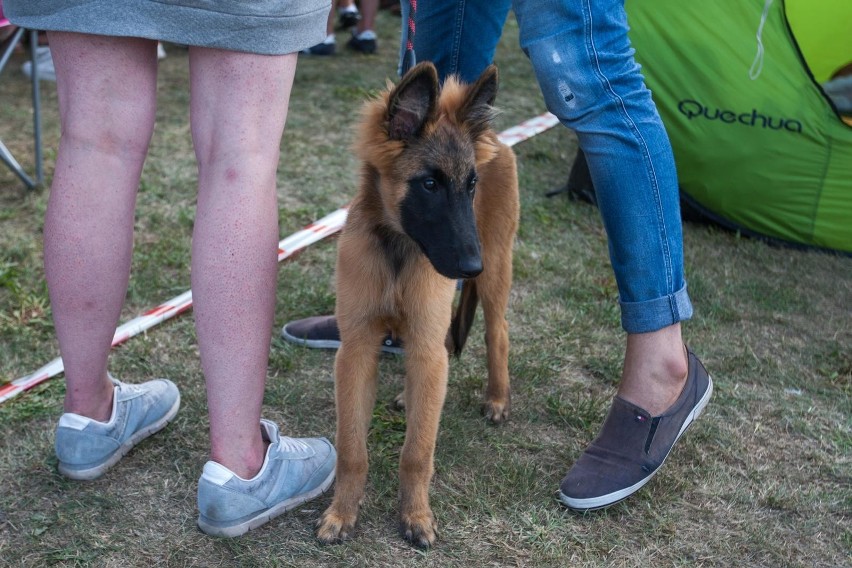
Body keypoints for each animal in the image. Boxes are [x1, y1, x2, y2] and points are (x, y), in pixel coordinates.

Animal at [316, 61, 520, 544]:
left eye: (471, 185)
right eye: (429, 183)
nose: (470, 267)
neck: (398, 248)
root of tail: (495, 135)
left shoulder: (425, 339)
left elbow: (418, 450)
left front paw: (415, 515)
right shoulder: (357, 350)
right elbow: (352, 448)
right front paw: (343, 512)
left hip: (498, 268)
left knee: (497, 332)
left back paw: (497, 397)